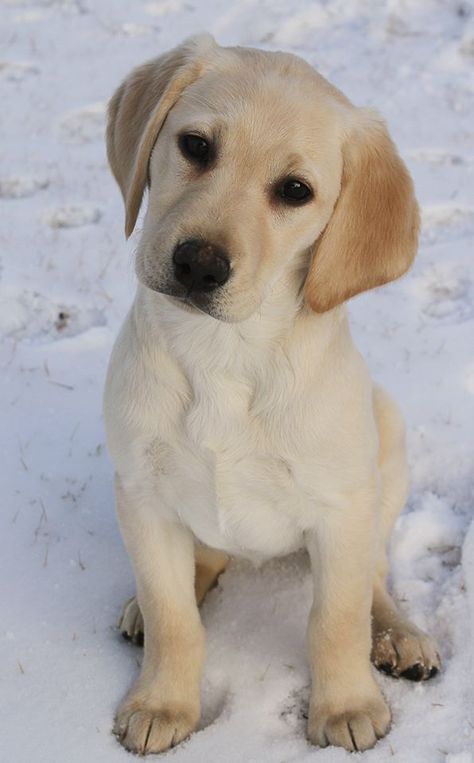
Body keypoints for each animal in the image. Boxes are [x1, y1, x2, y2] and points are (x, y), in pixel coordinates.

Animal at [104, 32, 440, 756]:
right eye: (196, 146)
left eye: (295, 191)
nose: (199, 263)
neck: (225, 351)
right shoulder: (141, 492)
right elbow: (174, 616)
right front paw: (163, 701)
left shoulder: (342, 508)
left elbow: (336, 618)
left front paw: (345, 705)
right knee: (199, 563)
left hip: (386, 443)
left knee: (374, 578)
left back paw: (399, 635)